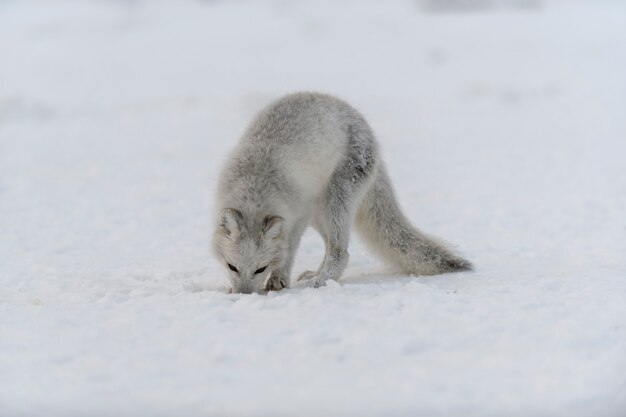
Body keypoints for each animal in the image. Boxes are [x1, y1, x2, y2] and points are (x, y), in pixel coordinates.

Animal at [211, 92, 468, 292]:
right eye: (232, 266)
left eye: (260, 269)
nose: (244, 295)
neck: (256, 187)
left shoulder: (298, 217)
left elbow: (288, 251)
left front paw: (279, 279)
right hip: (320, 212)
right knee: (329, 246)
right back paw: (315, 274)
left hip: (335, 200)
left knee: (340, 252)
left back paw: (321, 282)